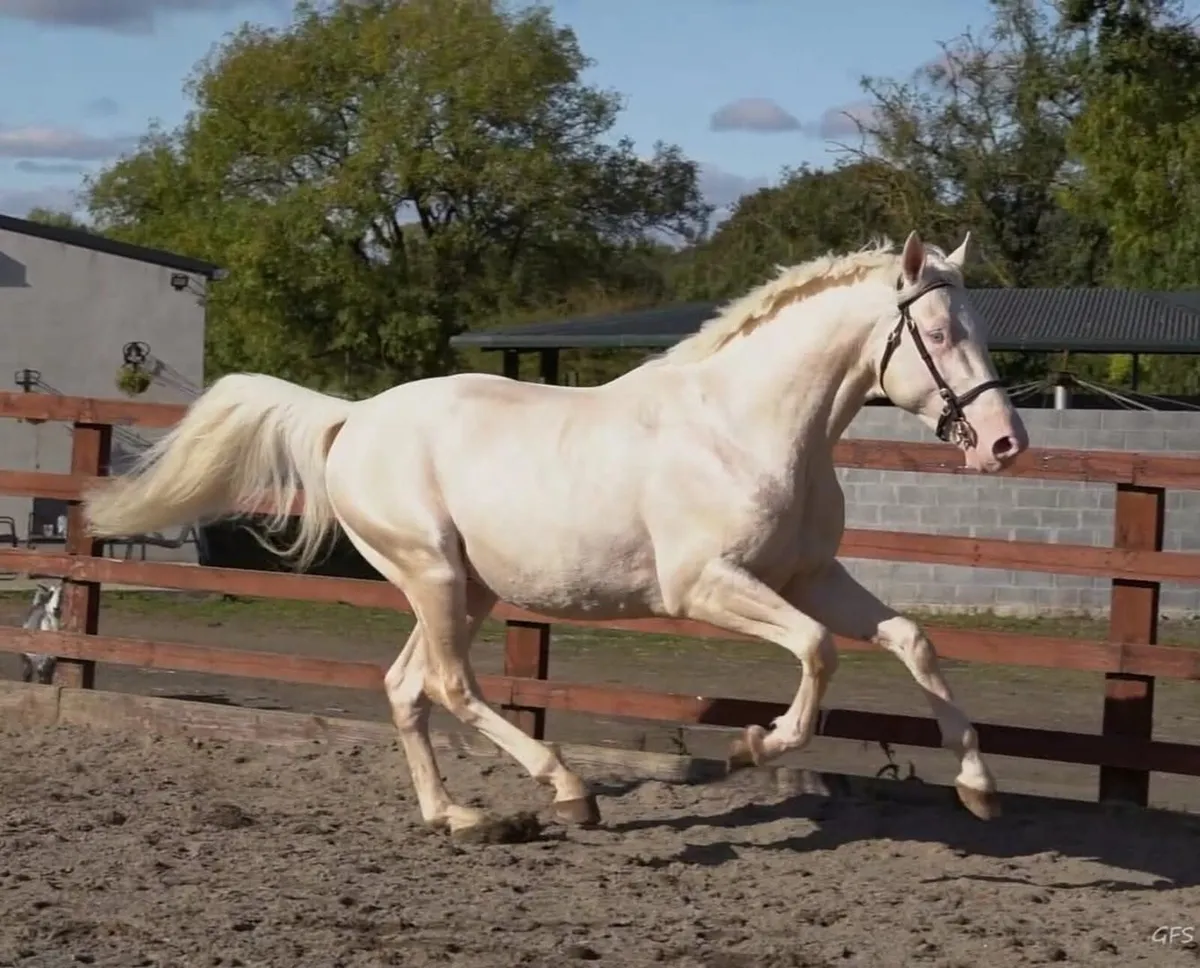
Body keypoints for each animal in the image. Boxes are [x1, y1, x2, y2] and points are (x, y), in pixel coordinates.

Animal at [82, 230, 1028, 836]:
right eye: (937, 333)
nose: (1005, 444)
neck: (745, 427)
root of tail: (352, 419)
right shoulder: (708, 586)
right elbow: (818, 652)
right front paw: (756, 744)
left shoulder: (809, 577)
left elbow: (911, 641)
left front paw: (979, 788)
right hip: (434, 575)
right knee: (450, 686)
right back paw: (567, 790)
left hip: (464, 589)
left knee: (405, 686)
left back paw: (457, 817)